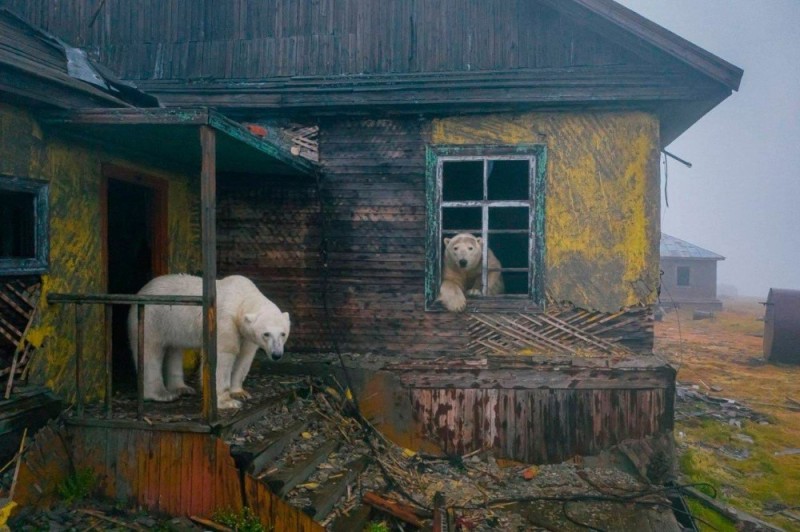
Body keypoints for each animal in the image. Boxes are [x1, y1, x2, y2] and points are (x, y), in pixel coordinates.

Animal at [130, 272, 292, 410]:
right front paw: (227, 402)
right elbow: (223, 356)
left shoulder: (246, 334)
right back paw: (162, 394)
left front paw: (240, 392)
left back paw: (182, 388)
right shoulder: (224, 322)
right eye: (266, 334)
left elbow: (245, 357)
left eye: (283, 334)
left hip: (172, 325)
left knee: (174, 349)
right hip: (152, 318)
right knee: (150, 352)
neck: (241, 298)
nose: (277, 354)